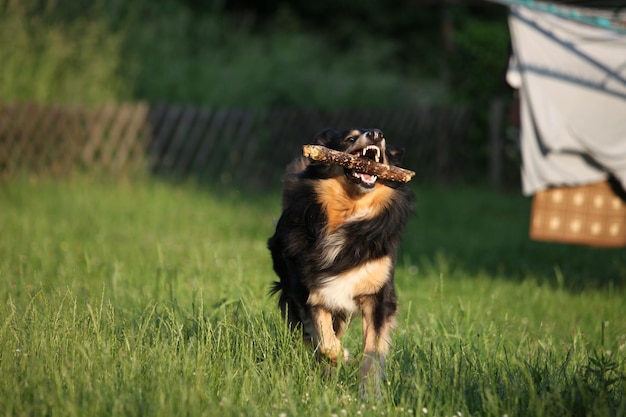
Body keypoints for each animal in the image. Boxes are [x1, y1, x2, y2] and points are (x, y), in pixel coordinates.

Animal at [266, 127, 412, 394]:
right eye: (350, 138)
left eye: (386, 150)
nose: (376, 133)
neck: (350, 212)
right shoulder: (310, 288)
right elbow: (325, 341)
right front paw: (340, 356)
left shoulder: (377, 295)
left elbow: (372, 351)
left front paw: (370, 394)